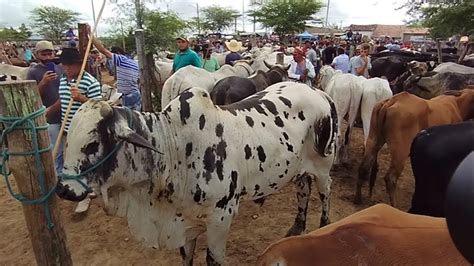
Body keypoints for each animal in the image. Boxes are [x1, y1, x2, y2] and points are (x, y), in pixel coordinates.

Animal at [55, 82, 336, 264]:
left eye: (92, 144)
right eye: (68, 141)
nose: (64, 190)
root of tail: (321, 93)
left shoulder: (221, 217)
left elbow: (212, 260)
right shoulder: (183, 220)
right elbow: (186, 256)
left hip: (323, 167)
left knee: (325, 194)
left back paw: (324, 227)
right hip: (299, 169)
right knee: (303, 190)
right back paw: (298, 227)